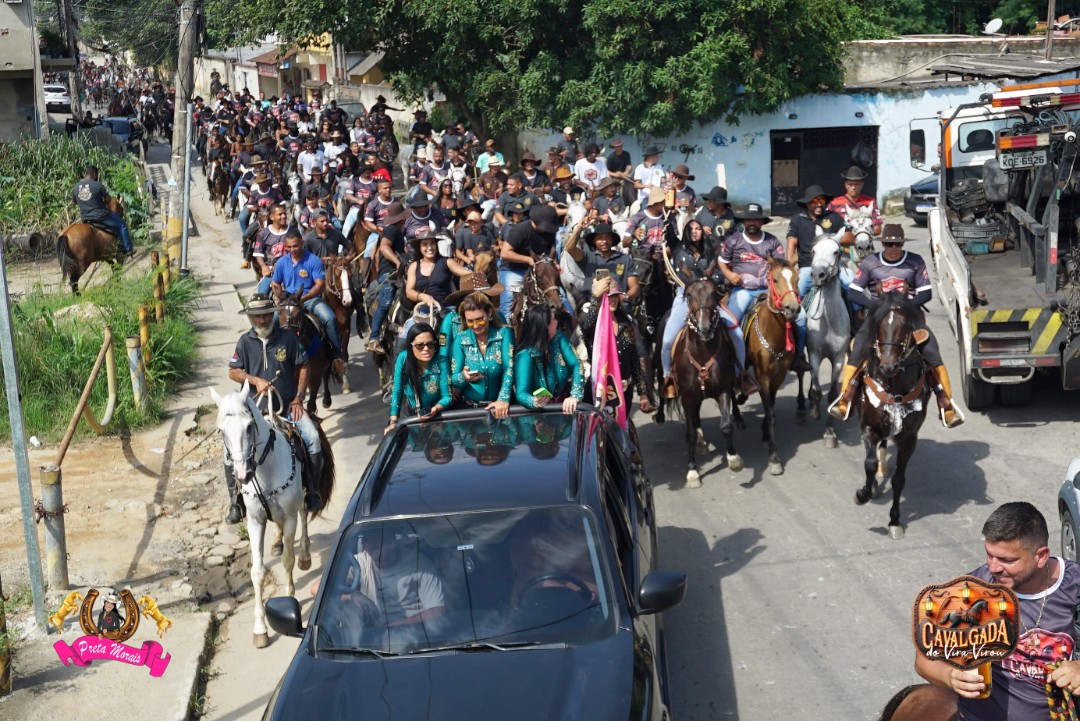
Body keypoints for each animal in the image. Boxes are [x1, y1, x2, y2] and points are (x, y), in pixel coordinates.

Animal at [209, 381, 335, 647]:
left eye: (249, 427)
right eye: (221, 431)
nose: (243, 474)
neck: (265, 468)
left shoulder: (289, 518)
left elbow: (288, 560)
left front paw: (290, 597)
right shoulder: (255, 521)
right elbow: (257, 572)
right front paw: (260, 629)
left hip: (302, 498)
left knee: (305, 514)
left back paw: (305, 555)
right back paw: (276, 543)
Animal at [655, 278, 743, 487]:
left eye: (714, 293)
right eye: (690, 295)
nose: (705, 328)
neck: (702, 352)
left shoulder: (722, 390)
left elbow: (725, 425)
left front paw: (733, 458)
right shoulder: (687, 397)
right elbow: (690, 435)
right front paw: (693, 472)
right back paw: (660, 416)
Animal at [743, 257, 802, 476]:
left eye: (796, 279)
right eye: (775, 280)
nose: (792, 308)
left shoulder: (779, 376)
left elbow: (772, 410)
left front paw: (765, 436)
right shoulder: (763, 378)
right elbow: (770, 413)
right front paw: (774, 457)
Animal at [854, 293, 930, 540]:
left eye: (904, 326)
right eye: (879, 326)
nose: (888, 366)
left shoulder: (909, 438)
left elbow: (899, 479)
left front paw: (895, 520)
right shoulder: (869, 428)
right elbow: (869, 464)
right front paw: (863, 493)